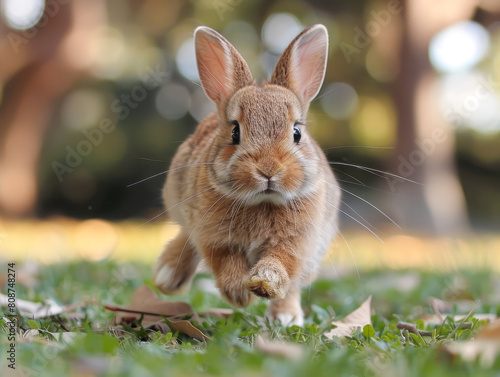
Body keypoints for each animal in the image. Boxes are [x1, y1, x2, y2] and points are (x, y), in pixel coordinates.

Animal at [152, 24, 340, 326]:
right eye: (235, 132)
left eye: (297, 132)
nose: (268, 169)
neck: (262, 201)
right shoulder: (213, 237)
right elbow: (223, 260)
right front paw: (239, 294)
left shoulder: (300, 242)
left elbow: (283, 261)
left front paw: (265, 282)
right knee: (186, 237)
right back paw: (167, 276)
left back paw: (285, 317)